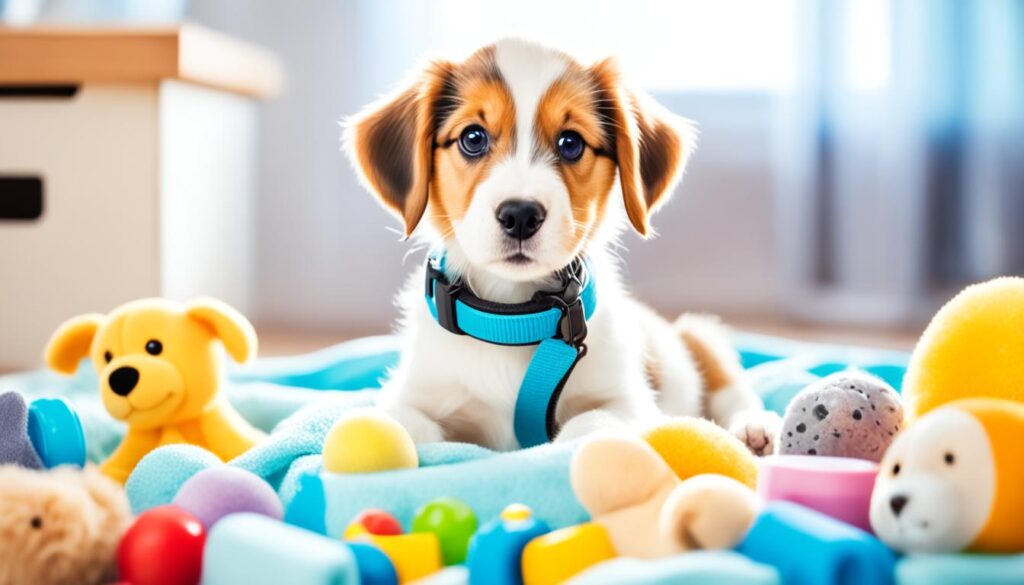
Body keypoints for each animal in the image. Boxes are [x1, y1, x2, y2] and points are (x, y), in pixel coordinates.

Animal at [46, 299, 266, 483]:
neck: (171, 423)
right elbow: (116, 468)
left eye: (153, 346)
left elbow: (244, 447)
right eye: (108, 357)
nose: (120, 378)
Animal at [344, 38, 774, 454]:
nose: (520, 215)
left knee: (730, 387)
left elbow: (589, 425)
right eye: (472, 138)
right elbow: (402, 424)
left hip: (697, 334)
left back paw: (753, 428)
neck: (511, 318)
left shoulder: (628, 401)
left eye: (570, 143)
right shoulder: (412, 394)